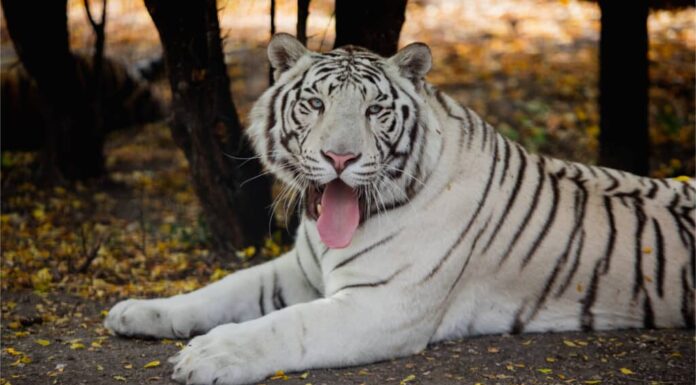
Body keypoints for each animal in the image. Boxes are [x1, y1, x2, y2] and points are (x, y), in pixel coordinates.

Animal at [104, 33, 696, 384]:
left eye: (374, 111)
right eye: (315, 103)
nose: (339, 157)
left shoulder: (382, 305)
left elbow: (286, 326)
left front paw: (209, 356)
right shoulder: (299, 271)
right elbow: (219, 290)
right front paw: (135, 311)